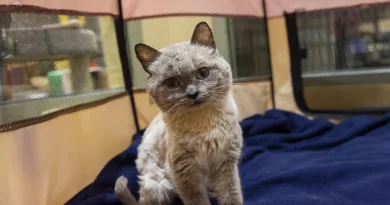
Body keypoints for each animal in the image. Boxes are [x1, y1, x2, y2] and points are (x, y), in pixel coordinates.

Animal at [115, 21, 244, 204]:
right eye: (172, 83)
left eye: (203, 73)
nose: (193, 94)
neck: (203, 126)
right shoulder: (185, 174)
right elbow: (197, 201)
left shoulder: (225, 165)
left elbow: (231, 197)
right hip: (159, 185)